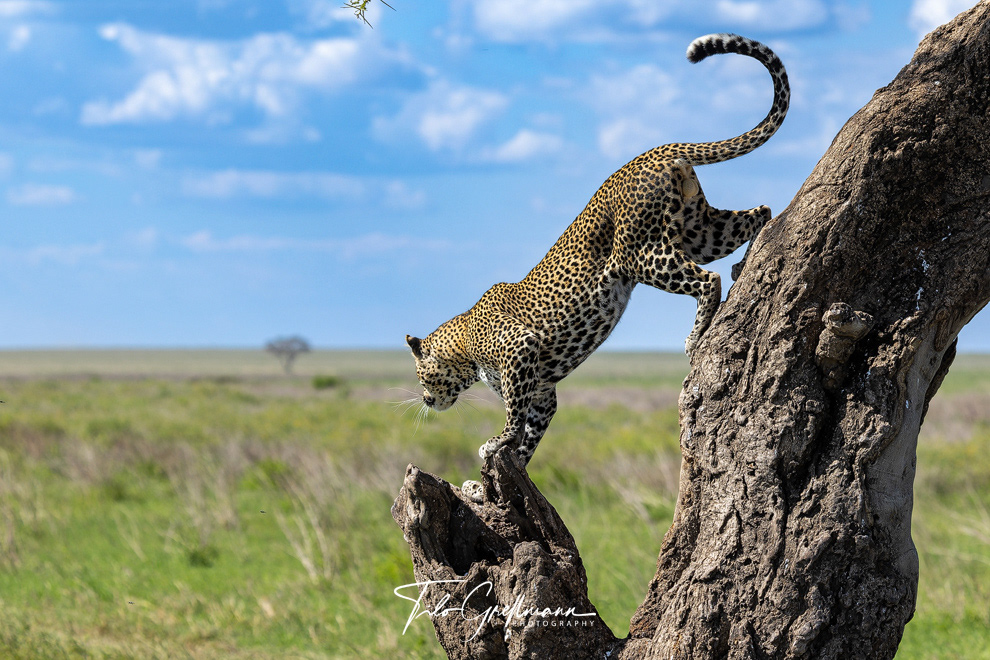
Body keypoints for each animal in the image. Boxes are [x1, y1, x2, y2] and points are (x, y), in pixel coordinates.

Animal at [405, 34, 789, 502]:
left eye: (422, 374)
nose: (426, 400)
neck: (461, 345)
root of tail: (653, 152)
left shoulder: (520, 351)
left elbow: (512, 420)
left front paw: (493, 445)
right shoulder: (543, 395)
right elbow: (526, 445)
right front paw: (482, 488)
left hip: (642, 255)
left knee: (706, 279)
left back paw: (696, 334)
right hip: (700, 230)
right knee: (761, 212)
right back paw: (750, 259)